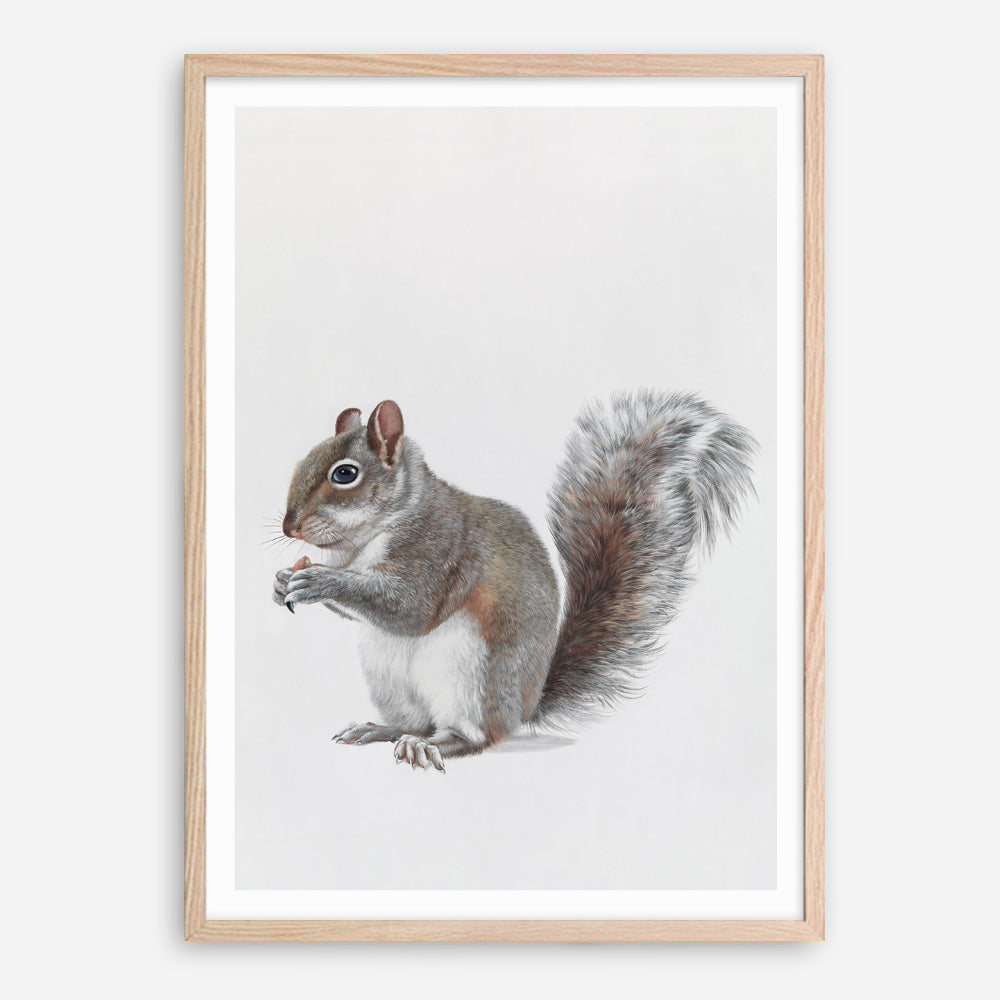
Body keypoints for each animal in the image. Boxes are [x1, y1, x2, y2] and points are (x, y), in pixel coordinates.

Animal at [273, 391, 756, 772]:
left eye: (345, 474)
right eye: (302, 460)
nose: (288, 527)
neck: (365, 539)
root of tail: (521, 710)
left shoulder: (441, 550)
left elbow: (412, 607)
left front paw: (318, 581)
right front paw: (282, 583)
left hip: (471, 676)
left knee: (470, 737)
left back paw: (428, 746)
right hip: (386, 673)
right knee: (416, 721)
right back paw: (381, 729)